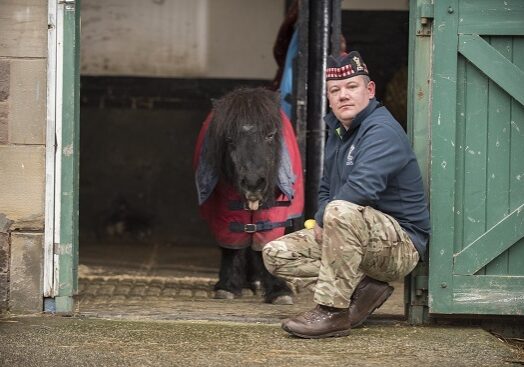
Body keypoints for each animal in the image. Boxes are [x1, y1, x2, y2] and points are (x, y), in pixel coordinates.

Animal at [194, 87, 302, 304]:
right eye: (228, 139)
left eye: (270, 135)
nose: (253, 183)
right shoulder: (225, 206)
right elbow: (232, 243)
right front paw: (227, 286)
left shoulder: (274, 210)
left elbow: (267, 241)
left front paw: (278, 290)